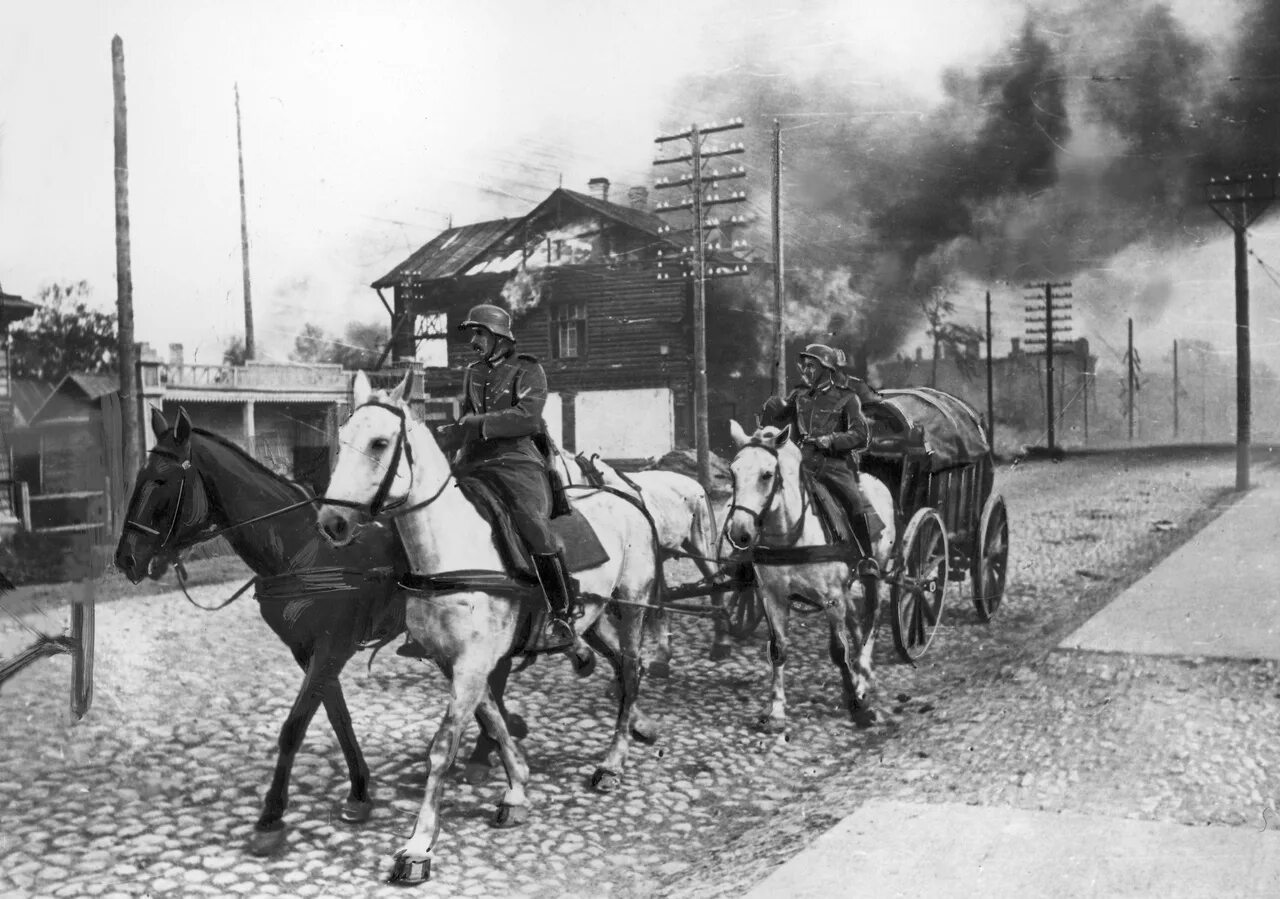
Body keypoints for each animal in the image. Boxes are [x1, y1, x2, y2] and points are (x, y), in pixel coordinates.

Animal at [115, 409, 522, 860]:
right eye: (141, 476)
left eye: (162, 481)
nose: (125, 559)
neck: (302, 550)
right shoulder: (308, 651)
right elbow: (337, 716)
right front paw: (359, 792)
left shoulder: (331, 648)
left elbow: (294, 727)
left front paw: (270, 818)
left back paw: (486, 756)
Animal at [317, 373, 660, 886]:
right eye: (341, 442)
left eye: (379, 442)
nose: (332, 522)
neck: (449, 548)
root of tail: (626, 497)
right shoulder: (454, 663)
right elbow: (493, 720)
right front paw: (517, 789)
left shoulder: (472, 664)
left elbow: (444, 747)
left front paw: (418, 846)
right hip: (595, 616)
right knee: (621, 666)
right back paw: (635, 726)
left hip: (632, 603)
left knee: (634, 669)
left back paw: (612, 763)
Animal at [727, 422, 896, 732]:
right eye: (733, 472)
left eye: (767, 474)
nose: (739, 532)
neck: (790, 535)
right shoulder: (773, 598)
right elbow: (778, 649)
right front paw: (776, 710)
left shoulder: (832, 599)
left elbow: (838, 650)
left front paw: (858, 709)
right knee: (856, 622)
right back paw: (859, 676)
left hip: (874, 574)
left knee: (872, 619)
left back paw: (864, 674)